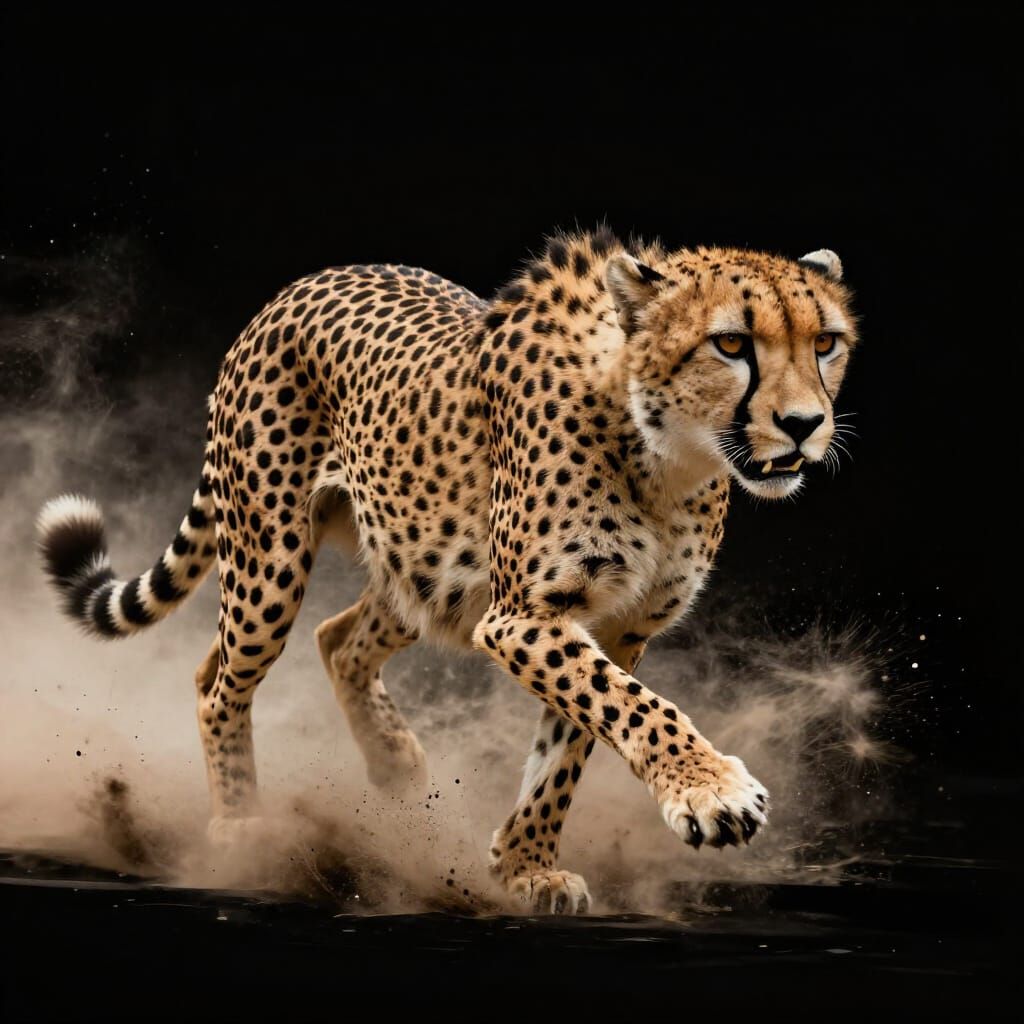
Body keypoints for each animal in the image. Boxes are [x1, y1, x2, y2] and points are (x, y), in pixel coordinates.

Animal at [37, 227, 857, 913]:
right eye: (731, 343)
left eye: (825, 342)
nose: (804, 425)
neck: (669, 458)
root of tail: (305, 282)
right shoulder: (524, 613)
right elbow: (631, 707)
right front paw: (710, 792)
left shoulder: (617, 627)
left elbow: (571, 745)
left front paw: (525, 866)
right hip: (272, 558)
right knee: (219, 682)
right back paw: (242, 828)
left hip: (426, 568)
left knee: (336, 639)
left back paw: (395, 762)